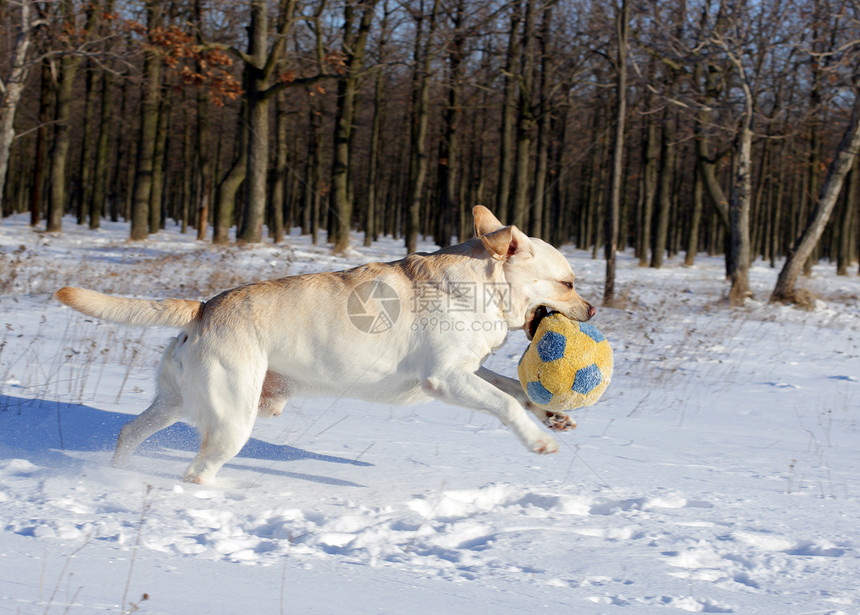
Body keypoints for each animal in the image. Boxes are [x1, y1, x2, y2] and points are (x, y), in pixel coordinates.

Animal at [57, 208, 596, 486]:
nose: (593, 311)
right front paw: (540, 440)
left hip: (176, 403)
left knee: (129, 431)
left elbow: (513, 386)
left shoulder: (468, 369)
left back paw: (120, 471)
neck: (480, 287)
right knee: (197, 470)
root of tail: (202, 307)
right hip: (232, 420)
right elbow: (506, 403)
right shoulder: (445, 378)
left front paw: (554, 416)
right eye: (568, 284)